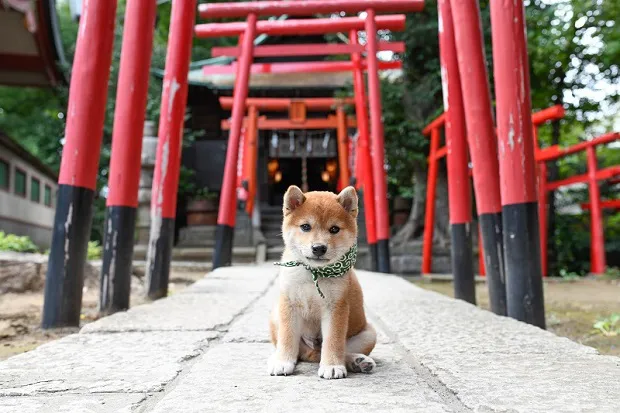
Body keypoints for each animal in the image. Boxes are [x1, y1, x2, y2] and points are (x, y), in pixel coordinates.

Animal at [268, 185, 376, 378]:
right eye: (305, 227)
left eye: (334, 229)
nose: (318, 248)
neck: (313, 273)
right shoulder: (289, 304)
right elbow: (287, 337)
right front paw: (282, 361)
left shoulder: (336, 307)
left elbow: (333, 340)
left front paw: (332, 366)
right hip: (275, 315)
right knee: (301, 352)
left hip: (370, 334)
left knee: (338, 351)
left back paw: (358, 361)